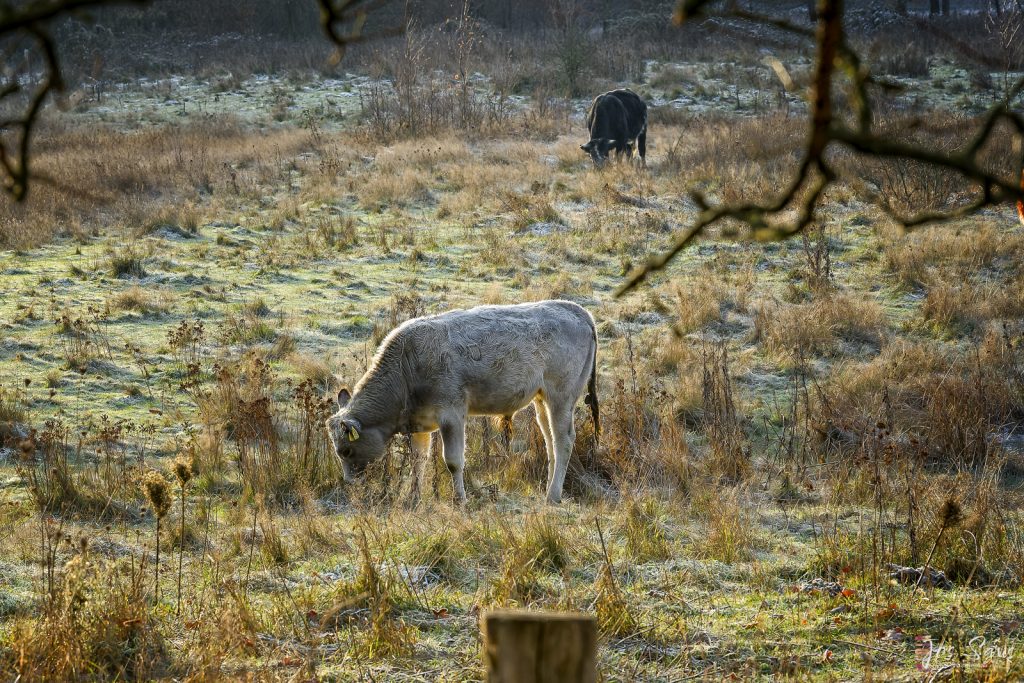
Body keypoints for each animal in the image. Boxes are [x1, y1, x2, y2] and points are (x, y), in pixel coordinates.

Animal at [325, 301, 598, 505]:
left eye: (345, 451)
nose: (348, 483)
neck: (406, 367)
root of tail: (577, 310)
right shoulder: (419, 423)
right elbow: (418, 461)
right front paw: (413, 499)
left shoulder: (452, 414)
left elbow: (453, 461)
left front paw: (460, 500)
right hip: (542, 400)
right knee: (550, 442)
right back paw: (551, 490)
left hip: (562, 397)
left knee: (564, 441)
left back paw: (553, 496)